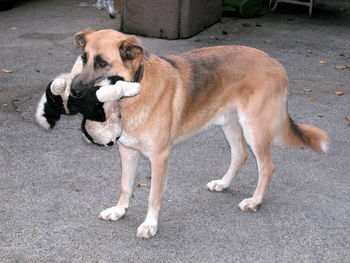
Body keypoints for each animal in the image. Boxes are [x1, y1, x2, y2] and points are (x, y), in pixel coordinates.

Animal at [70, 28, 328, 239]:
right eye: (84, 58)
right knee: (240, 155)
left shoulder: (159, 157)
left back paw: (254, 201)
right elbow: (125, 186)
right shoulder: (127, 151)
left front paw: (150, 224)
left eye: (102, 62)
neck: (134, 90)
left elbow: (154, 196)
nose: (73, 91)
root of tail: (275, 63)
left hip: (254, 129)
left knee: (266, 167)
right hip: (229, 124)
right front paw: (119, 210)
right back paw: (223, 184)